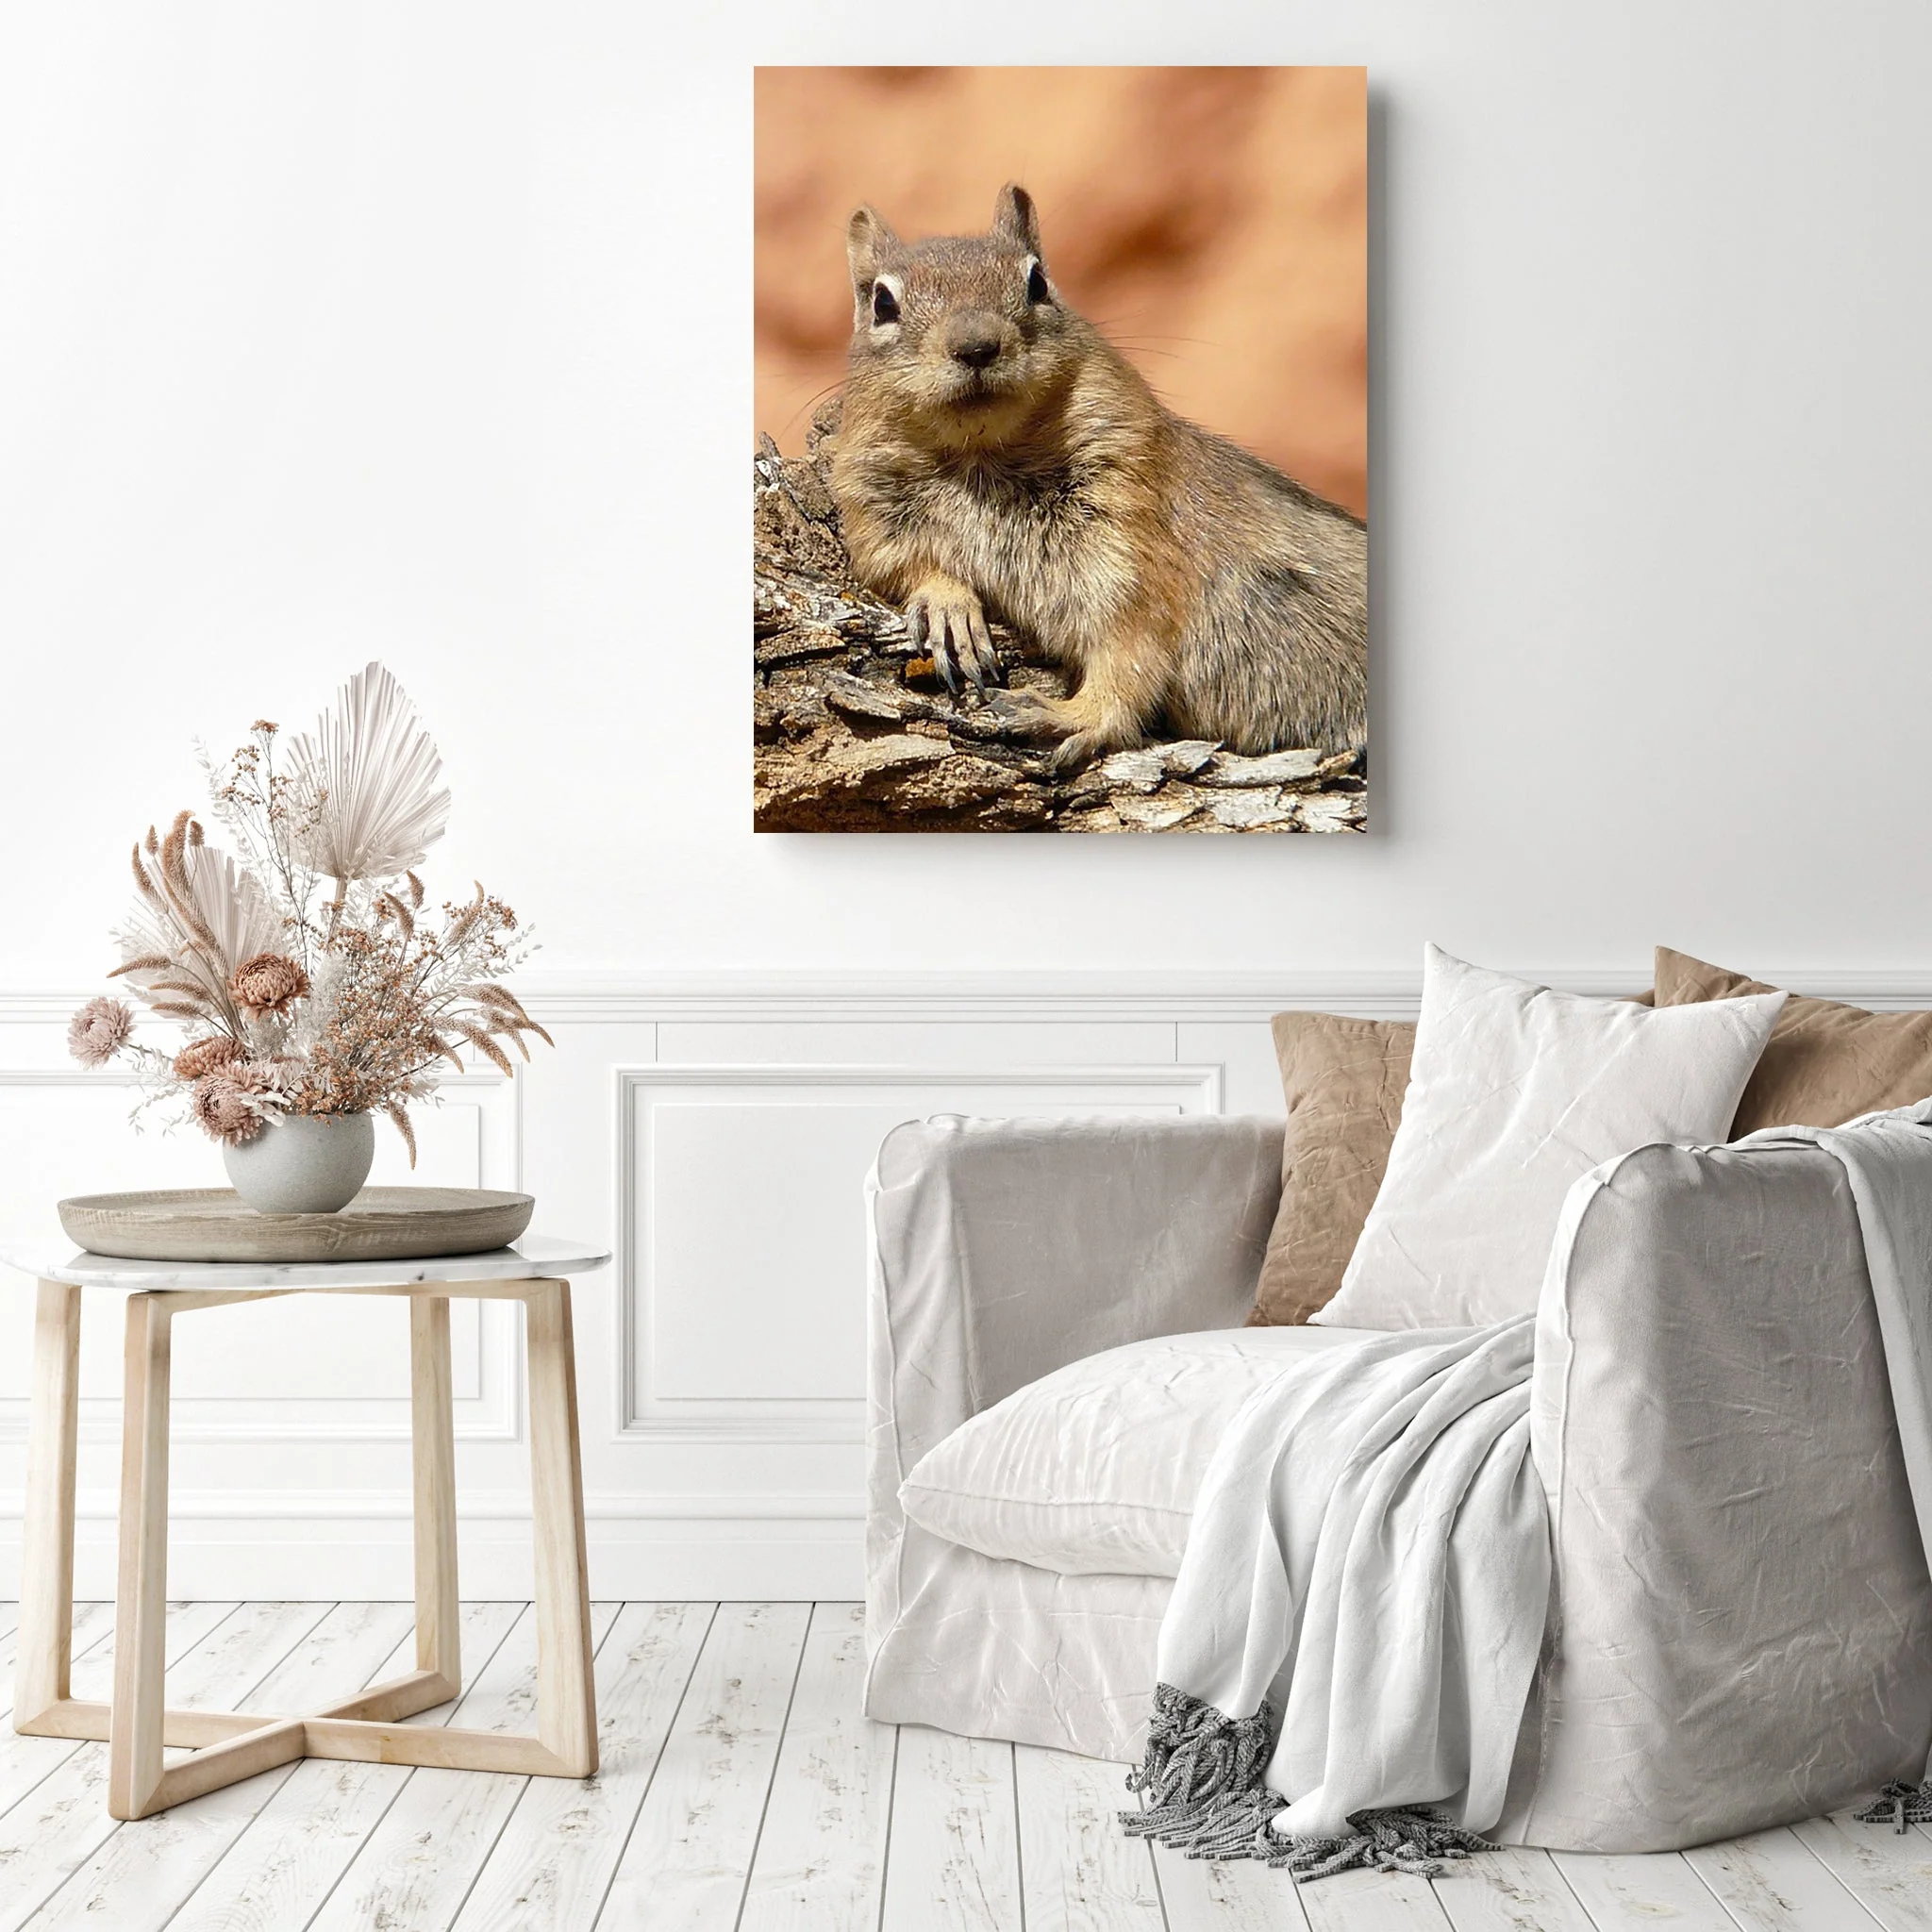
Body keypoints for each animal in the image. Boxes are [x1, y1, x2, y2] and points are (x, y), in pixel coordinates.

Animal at [826, 184, 1367, 771]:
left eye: (1038, 282)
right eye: (882, 303)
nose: (976, 347)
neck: (981, 456)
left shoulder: (1131, 543)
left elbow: (1130, 653)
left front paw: (1071, 715)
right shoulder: (873, 511)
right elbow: (902, 566)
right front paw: (949, 606)